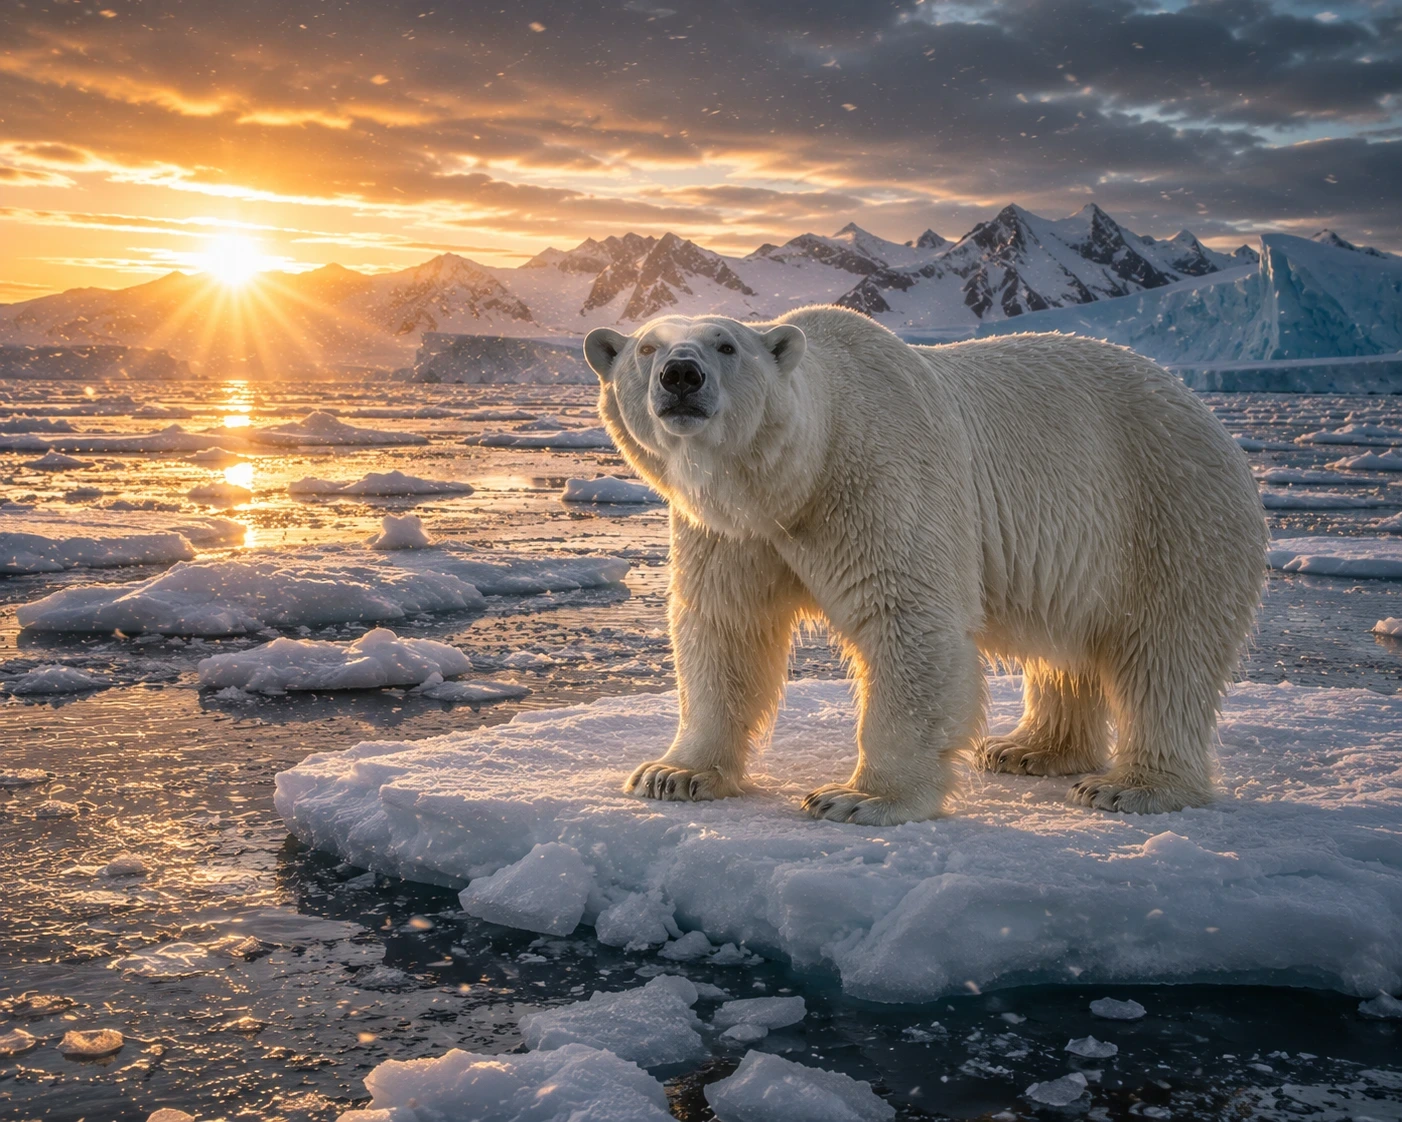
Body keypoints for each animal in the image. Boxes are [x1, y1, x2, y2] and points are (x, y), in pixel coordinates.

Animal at [583, 306, 1267, 825]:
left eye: (726, 345)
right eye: (646, 346)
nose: (681, 374)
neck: (795, 478)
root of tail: (1201, 408)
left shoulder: (880, 478)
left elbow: (905, 619)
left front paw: (855, 798)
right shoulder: (732, 532)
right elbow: (724, 628)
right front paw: (672, 773)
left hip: (1165, 511)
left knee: (1167, 652)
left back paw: (1130, 786)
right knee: (1068, 652)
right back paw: (1027, 750)